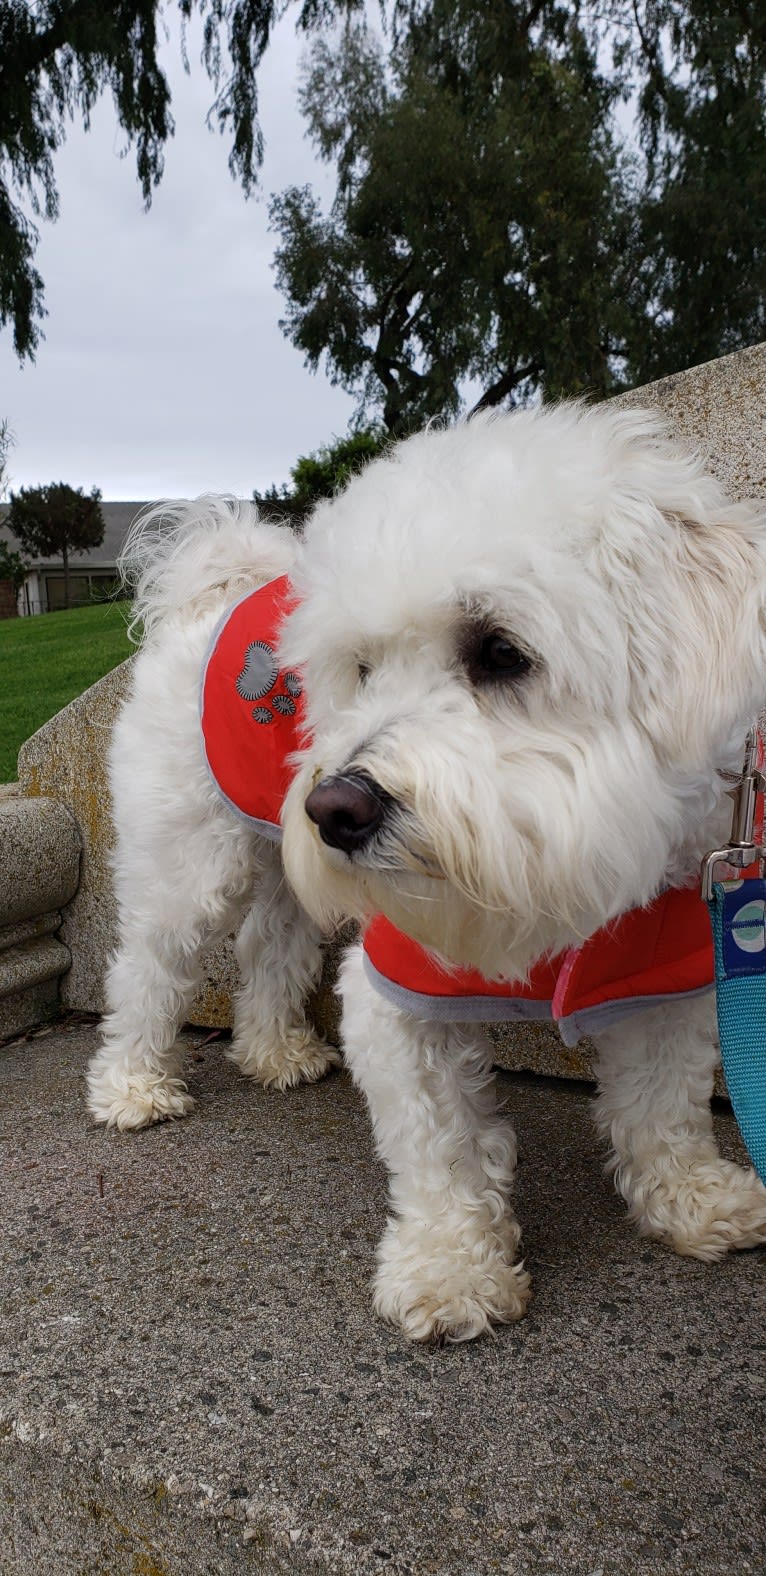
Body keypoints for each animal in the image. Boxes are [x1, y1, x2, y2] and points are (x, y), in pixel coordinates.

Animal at [86, 403, 766, 1342]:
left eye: (501, 652)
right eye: (362, 669)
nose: (334, 807)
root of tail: (217, 583)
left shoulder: (664, 963)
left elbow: (665, 1101)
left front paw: (690, 1199)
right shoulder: (397, 980)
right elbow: (440, 1144)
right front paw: (451, 1268)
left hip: (282, 863)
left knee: (269, 943)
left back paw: (272, 1049)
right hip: (188, 857)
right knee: (148, 967)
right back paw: (131, 1086)